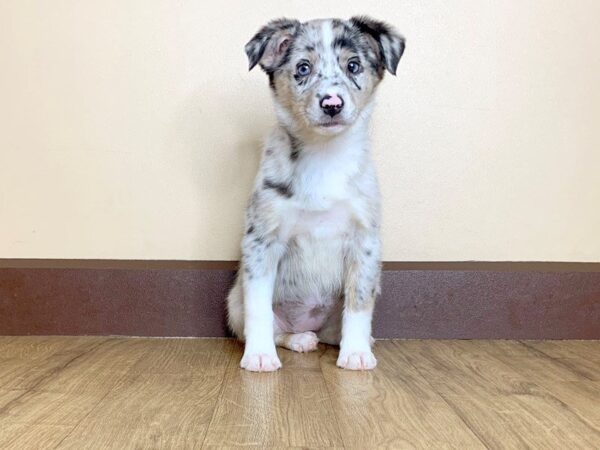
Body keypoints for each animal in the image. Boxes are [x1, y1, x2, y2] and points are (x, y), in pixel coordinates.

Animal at [227, 15, 406, 370]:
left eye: (353, 65)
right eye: (302, 68)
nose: (332, 105)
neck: (325, 155)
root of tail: (308, 324)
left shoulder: (364, 241)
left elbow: (359, 304)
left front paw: (356, 353)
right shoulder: (261, 240)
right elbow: (259, 306)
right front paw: (259, 355)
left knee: (335, 330)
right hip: (233, 302)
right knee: (275, 328)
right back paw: (296, 340)